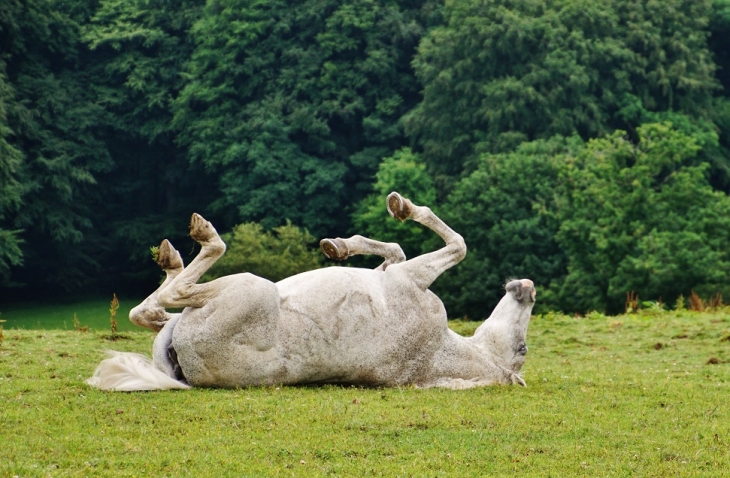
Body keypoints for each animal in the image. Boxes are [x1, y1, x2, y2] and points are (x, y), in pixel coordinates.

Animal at [86, 192, 536, 390]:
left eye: (522, 350)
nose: (527, 288)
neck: (437, 353)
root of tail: (186, 369)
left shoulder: (411, 278)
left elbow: (457, 244)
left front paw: (403, 206)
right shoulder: (397, 272)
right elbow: (395, 249)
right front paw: (339, 245)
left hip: (249, 287)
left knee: (171, 295)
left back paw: (197, 241)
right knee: (149, 310)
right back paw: (173, 262)